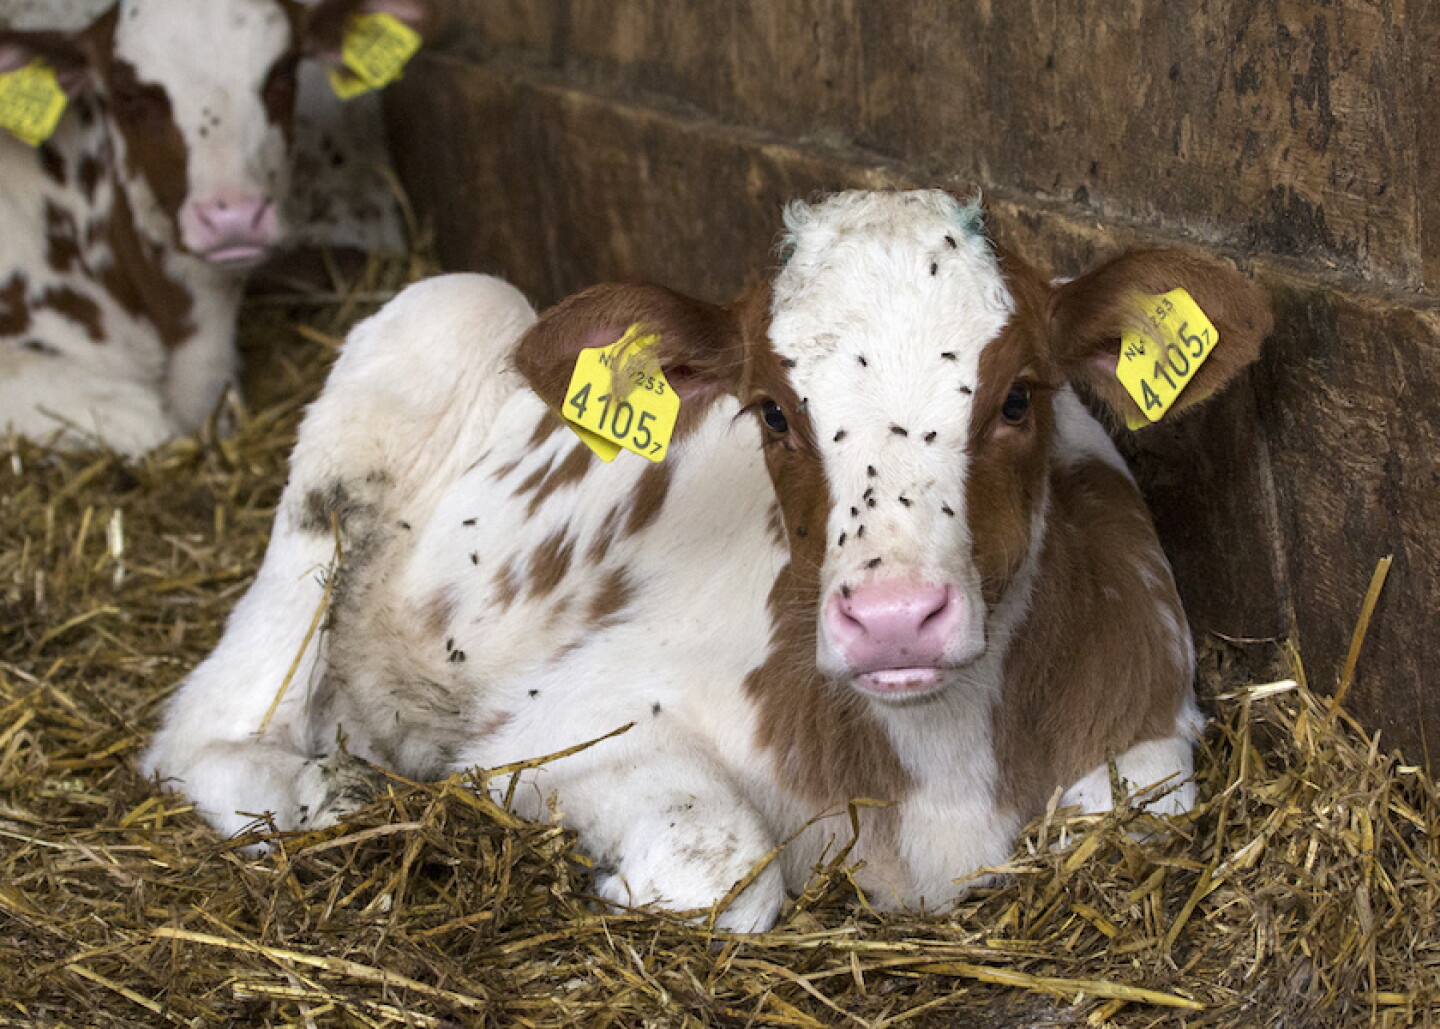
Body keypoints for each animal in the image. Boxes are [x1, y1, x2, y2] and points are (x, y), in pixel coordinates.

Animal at [142, 190, 1272, 931]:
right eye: (772, 410)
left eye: (1019, 395)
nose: (894, 618)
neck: (938, 772)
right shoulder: (551, 731)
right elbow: (717, 865)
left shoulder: (1150, 716)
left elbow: (1132, 817)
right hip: (410, 360)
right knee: (203, 724)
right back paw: (318, 795)